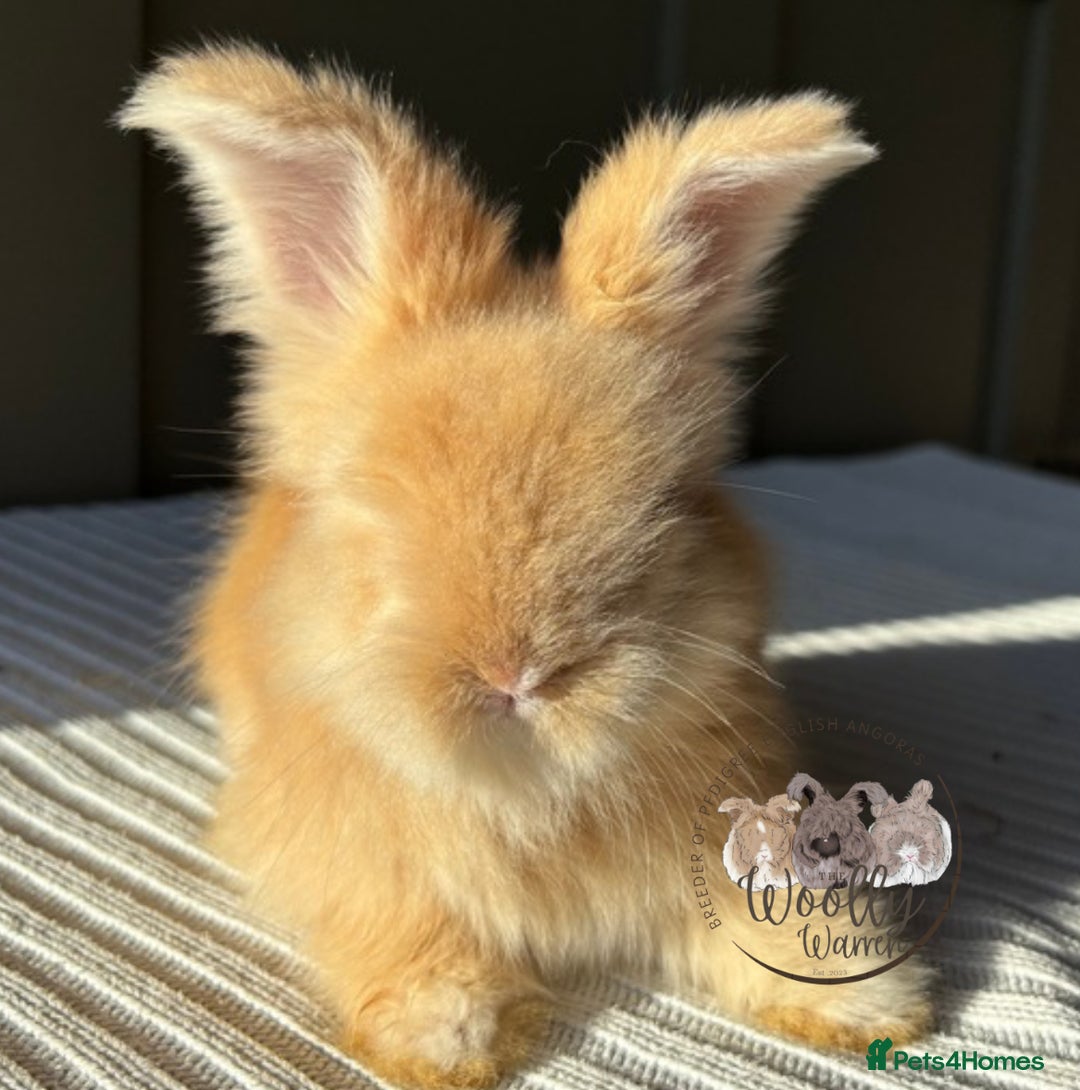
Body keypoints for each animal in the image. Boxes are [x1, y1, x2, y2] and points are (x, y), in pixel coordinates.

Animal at [119, 44, 932, 1088]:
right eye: (372, 513)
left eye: (664, 506)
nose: (516, 676)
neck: (527, 796)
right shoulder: (354, 866)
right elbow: (402, 927)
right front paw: (444, 1034)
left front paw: (869, 999)